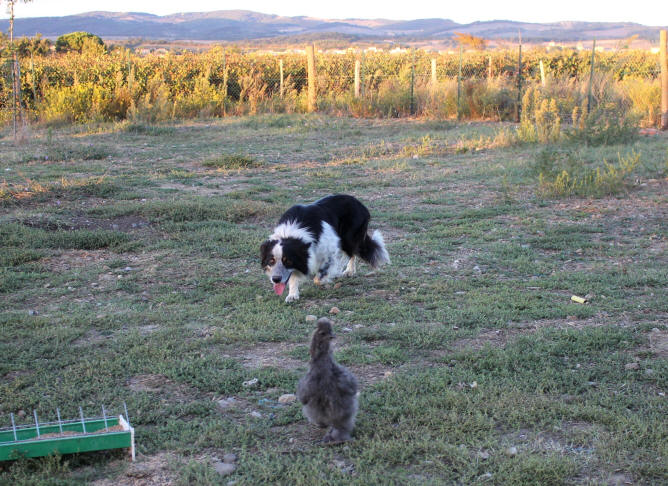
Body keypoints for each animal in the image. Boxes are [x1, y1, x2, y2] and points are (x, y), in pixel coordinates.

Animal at [258, 195, 388, 302]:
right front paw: (293, 295)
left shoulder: (330, 244)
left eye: (288, 261)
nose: (275, 279)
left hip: (348, 237)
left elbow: (319, 276)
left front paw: (327, 277)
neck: (292, 234)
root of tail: (359, 203)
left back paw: (346, 271)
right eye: (271, 261)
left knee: (350, 253)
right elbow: (293, 275)